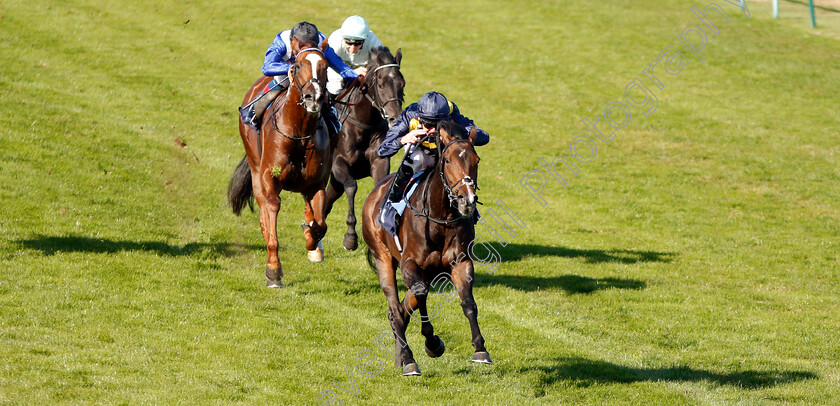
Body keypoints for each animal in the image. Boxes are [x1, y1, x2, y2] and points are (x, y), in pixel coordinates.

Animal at [230, 39, 334, 288]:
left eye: (325, 66)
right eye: (296, 65)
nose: (313, 97)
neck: (300, 133)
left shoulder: (316, 184)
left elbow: (320, 224)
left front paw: (311, 240)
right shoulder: (269, 178)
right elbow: (272, 211)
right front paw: (273, 270)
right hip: (255, 165)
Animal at [324, 46, 404, 251]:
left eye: (402, 84)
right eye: (381, 84)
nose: (394, 118)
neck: (364, 125)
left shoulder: (379, 162)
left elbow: (378, 188)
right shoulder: (339, 163)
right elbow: (352, 186)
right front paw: (350, 236)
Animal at [362, 119, 492, 376]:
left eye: (476, 160)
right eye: (448, 160)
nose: (466, 200)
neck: (441, 218)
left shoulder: (460, 262)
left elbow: (468, 303)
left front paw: (480, 349)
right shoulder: (410, 264)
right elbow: (421, 294)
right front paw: (431, 343)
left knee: (403, 309)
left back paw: (401, 355)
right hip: (382, 257)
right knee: (395, 310)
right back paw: (409, 360)